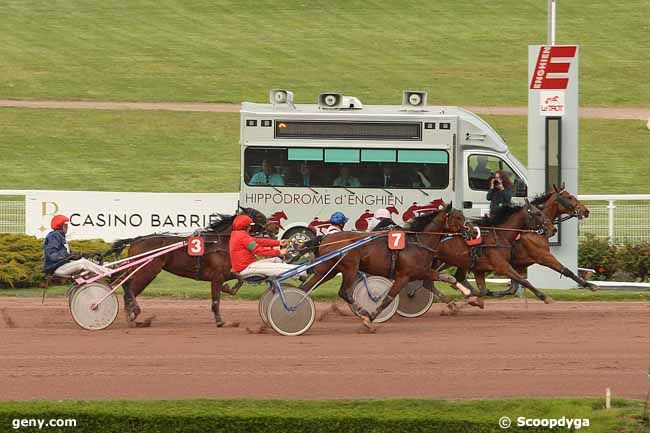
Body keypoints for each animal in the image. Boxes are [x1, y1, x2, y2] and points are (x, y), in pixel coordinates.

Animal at [110, 208, 268, 326]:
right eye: (259, 216)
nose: (271, 228)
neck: (218, 243)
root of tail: (135, 240)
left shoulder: (223, 273)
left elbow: (240, 278)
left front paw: (228, 288)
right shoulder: (217, 276)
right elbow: (216, 300)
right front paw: (219, 321)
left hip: (140, 269)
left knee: (126, 287)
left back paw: (130, 317)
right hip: (147, 271)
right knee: (129, 288)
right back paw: (134, 313)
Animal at [296, 205, 474, 324]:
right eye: (458, 217)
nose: (471, 230)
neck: (417, 242)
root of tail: (325, 238)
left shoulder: (422, 271)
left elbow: (446, 279)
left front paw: (465, 299)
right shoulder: (405, 275)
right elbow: (388, 298)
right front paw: (371, 317)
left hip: (327, 270)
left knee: (305, 288)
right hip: (350, 268)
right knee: (344, 292)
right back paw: (362, 311)